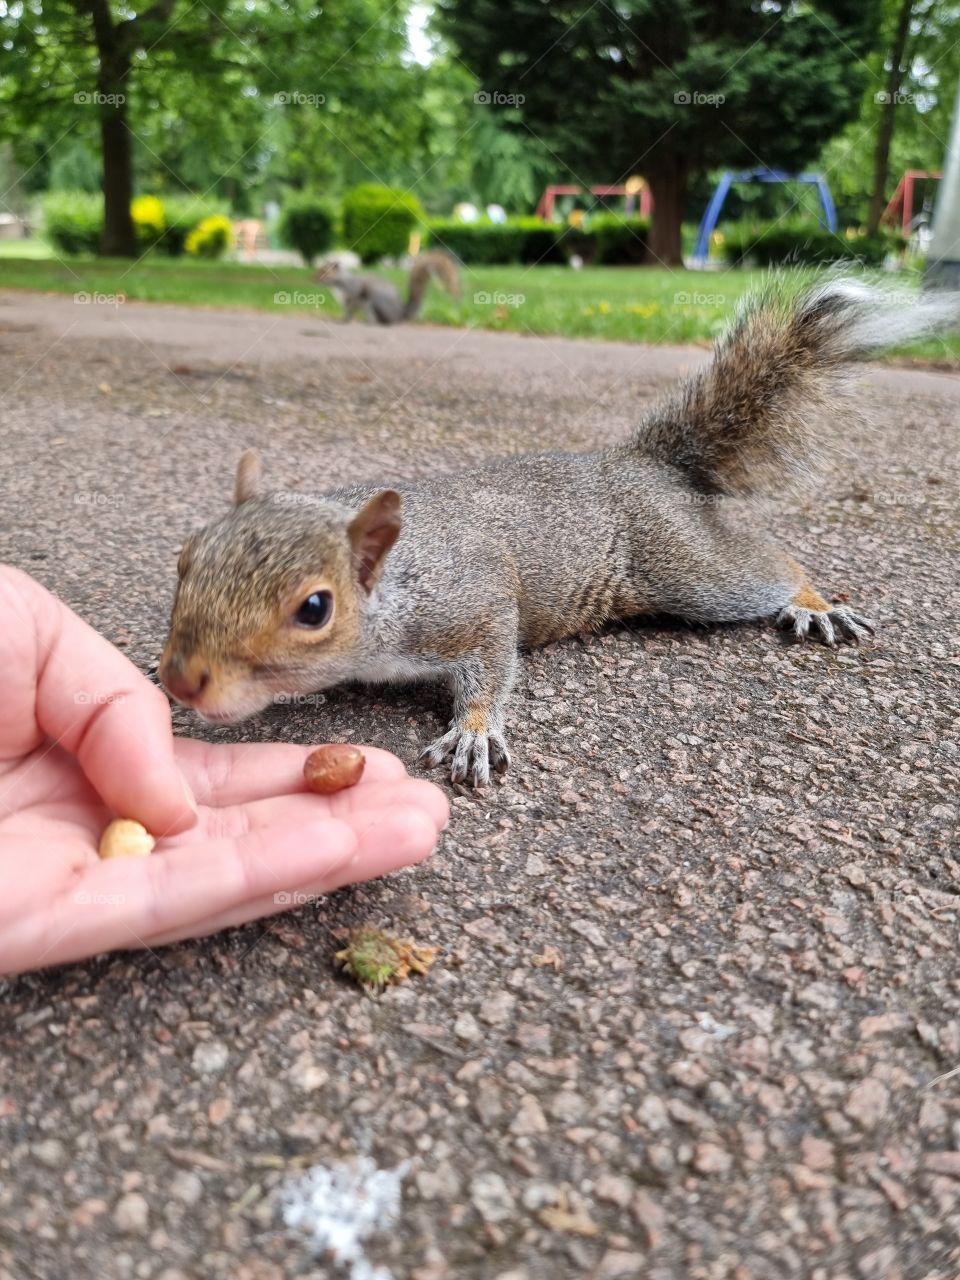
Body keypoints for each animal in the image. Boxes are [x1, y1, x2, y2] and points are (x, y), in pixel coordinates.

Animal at [159, 277, 959, 786]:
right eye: (185, 558)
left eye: (315, 608)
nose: (181, 677)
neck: (392, 588)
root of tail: (640, 462)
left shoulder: (471, 601)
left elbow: (492, 662)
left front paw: (475, 732)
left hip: (689, 569)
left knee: (770, 566)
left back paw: (812, 602)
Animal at [314, 251, 460, 324]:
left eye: (324, 272)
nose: (312, 279)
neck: (339, 283)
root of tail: (400, 314)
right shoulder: (345, 300)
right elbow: (347, 309)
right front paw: (341, 318)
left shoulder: (355, 292)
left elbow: (351, 309)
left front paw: (344, 320)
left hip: (375, 300)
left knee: (382, 320)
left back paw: (371, 322)